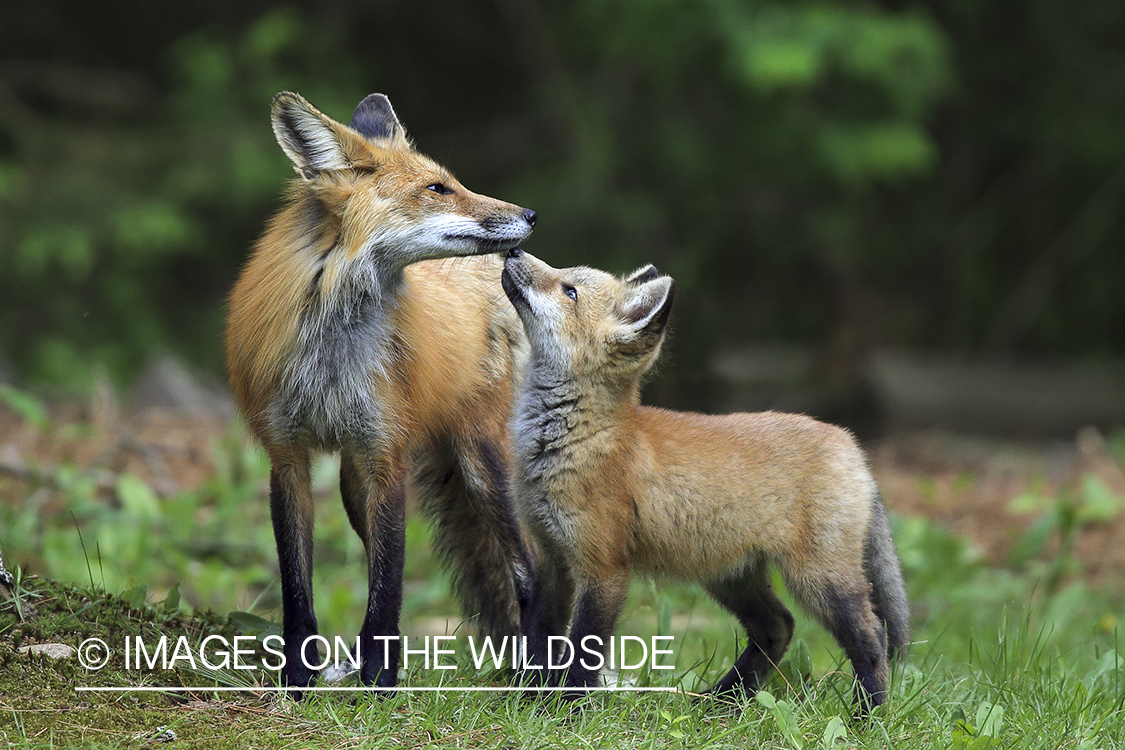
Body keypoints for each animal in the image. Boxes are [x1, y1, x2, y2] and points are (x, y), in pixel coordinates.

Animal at [226, 91, 537, 688]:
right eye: (438, 188)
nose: (531, 215)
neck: (331, 354)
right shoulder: (288, 455)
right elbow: (299, 583)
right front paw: (299, 677)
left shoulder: (386, 453)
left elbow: (389, 582)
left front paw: (381, 680)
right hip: (353, 481)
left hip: (485, 466)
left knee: (533, 570)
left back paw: (540, 673)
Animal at [506, 249, 909, 715]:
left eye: (568, 290)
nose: (514, 251)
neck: (570, 441)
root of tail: (849, 443)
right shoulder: (552, 558)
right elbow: (538, 638)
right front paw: (527, 702)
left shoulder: (604, 567)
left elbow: (584, 647)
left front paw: (569, 712)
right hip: (731, 577)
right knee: (779, 626)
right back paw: (725, 699)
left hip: (819, 580)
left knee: (870, 634)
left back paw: (869, 714)